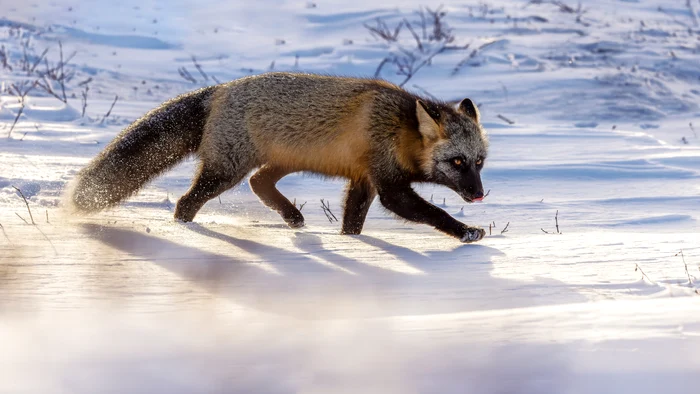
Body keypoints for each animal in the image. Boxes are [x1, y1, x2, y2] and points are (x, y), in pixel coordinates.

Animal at [68, 72, 490, 242]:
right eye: (456, 162)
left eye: (479, 162)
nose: (479, 194)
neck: (397, 129)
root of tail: (218, 89)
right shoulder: (389, 186)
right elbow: (434, 213)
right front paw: (466, 233)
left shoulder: (364, 179)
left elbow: (352, 224)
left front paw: (350, 243)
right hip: (225, 172)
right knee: (187, 202)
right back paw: (187, 231)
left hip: (280, 162)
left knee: (260, 183)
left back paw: (293, 219)